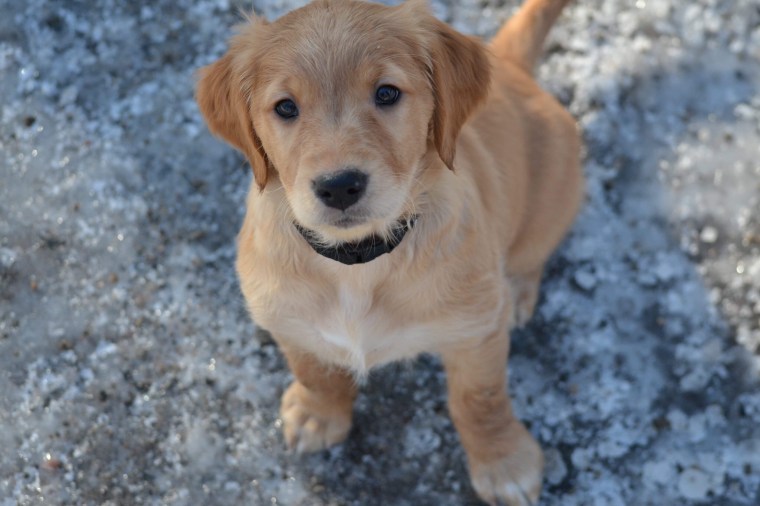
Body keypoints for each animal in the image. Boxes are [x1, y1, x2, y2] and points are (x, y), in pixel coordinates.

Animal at [196, 0, 582, 503]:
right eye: (285, 107)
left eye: (386, 93)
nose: (339, 186)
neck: (358, 259)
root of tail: (511, 66)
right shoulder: (285, 314)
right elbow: (313, 369)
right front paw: (318, 413)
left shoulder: (474, 329)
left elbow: (479, 399)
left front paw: (503, 461)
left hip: (556, 193)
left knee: (530, 254)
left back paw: (516, 291)